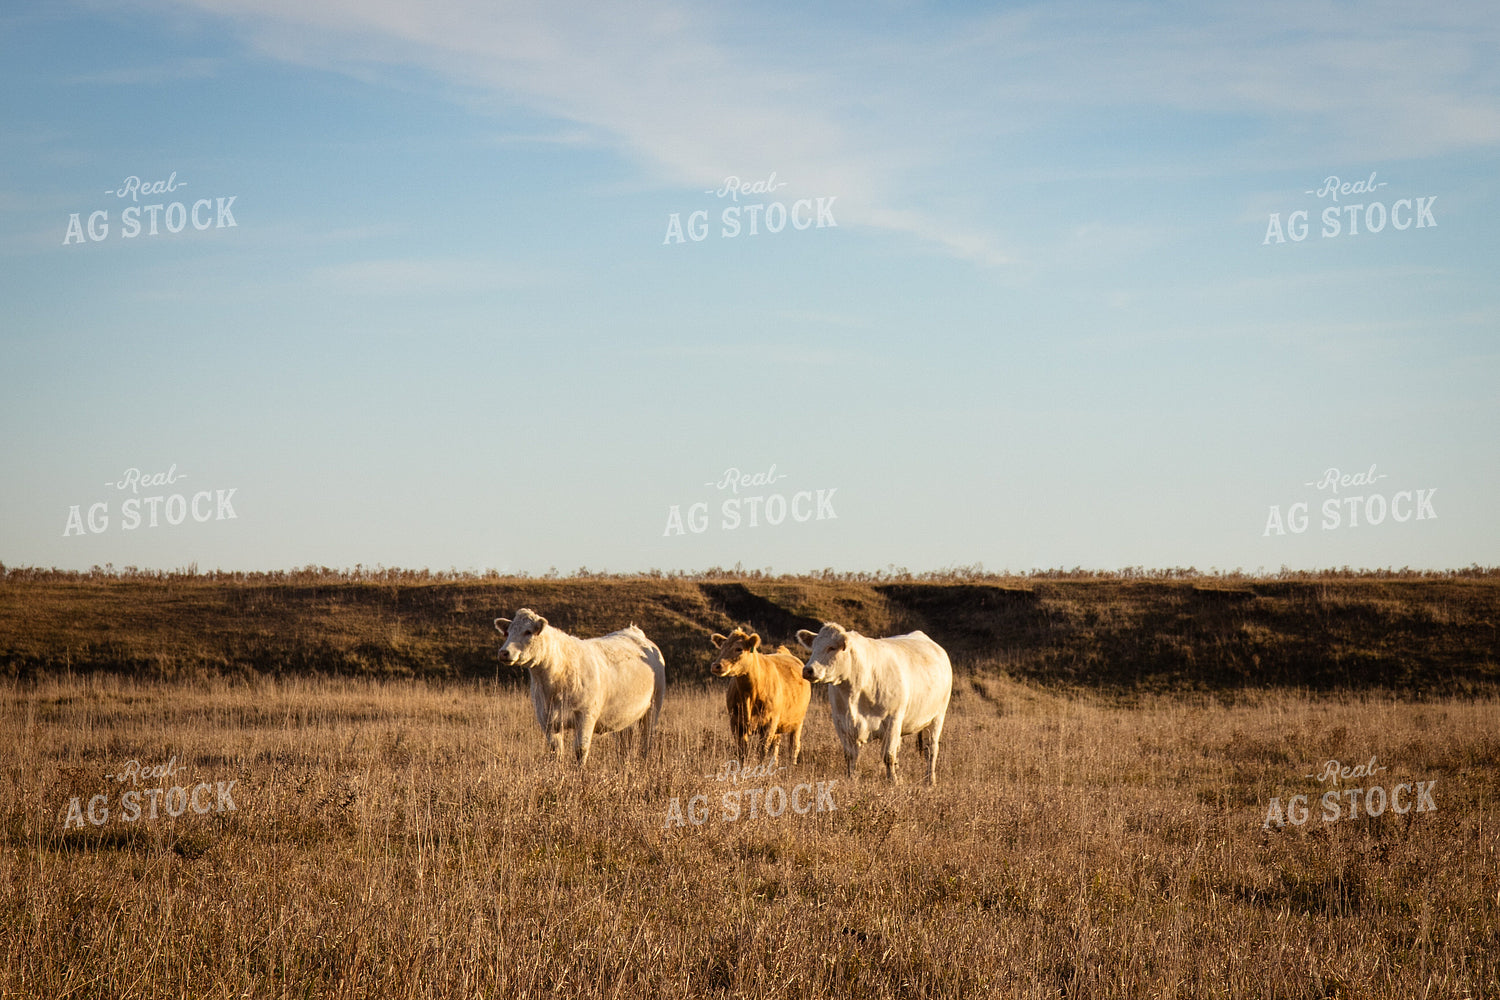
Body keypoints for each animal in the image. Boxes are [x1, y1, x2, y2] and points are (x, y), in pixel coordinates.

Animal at [495, 608, 666, 765]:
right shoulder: (546, 718)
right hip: (624, 714)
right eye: (507, 632)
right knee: (625, 741)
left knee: (647, 739)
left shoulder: (586, 715)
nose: (504, 652)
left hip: (653, 708)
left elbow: (580, 749)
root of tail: (635, 631)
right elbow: (555, 751)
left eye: (528, 632)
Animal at [707, 627, 812, 766]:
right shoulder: (735, 723)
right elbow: (742, 753)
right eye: (722, 647)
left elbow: (762, 752)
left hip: (798, 721)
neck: (749, 695)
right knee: (776, 746)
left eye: (739, 649)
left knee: (794, 747)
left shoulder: (769, 724)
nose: (716, 665)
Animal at [797, 623, 952, 785]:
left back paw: (930, 780)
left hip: (937, 716)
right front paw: (851, 778)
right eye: (814, 646)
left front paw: (893, 782)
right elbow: (850, 755)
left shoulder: (893, 720)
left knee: (931, 750)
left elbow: (888, 755)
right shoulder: (840, 722)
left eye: (832, 647)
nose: (808, 670)